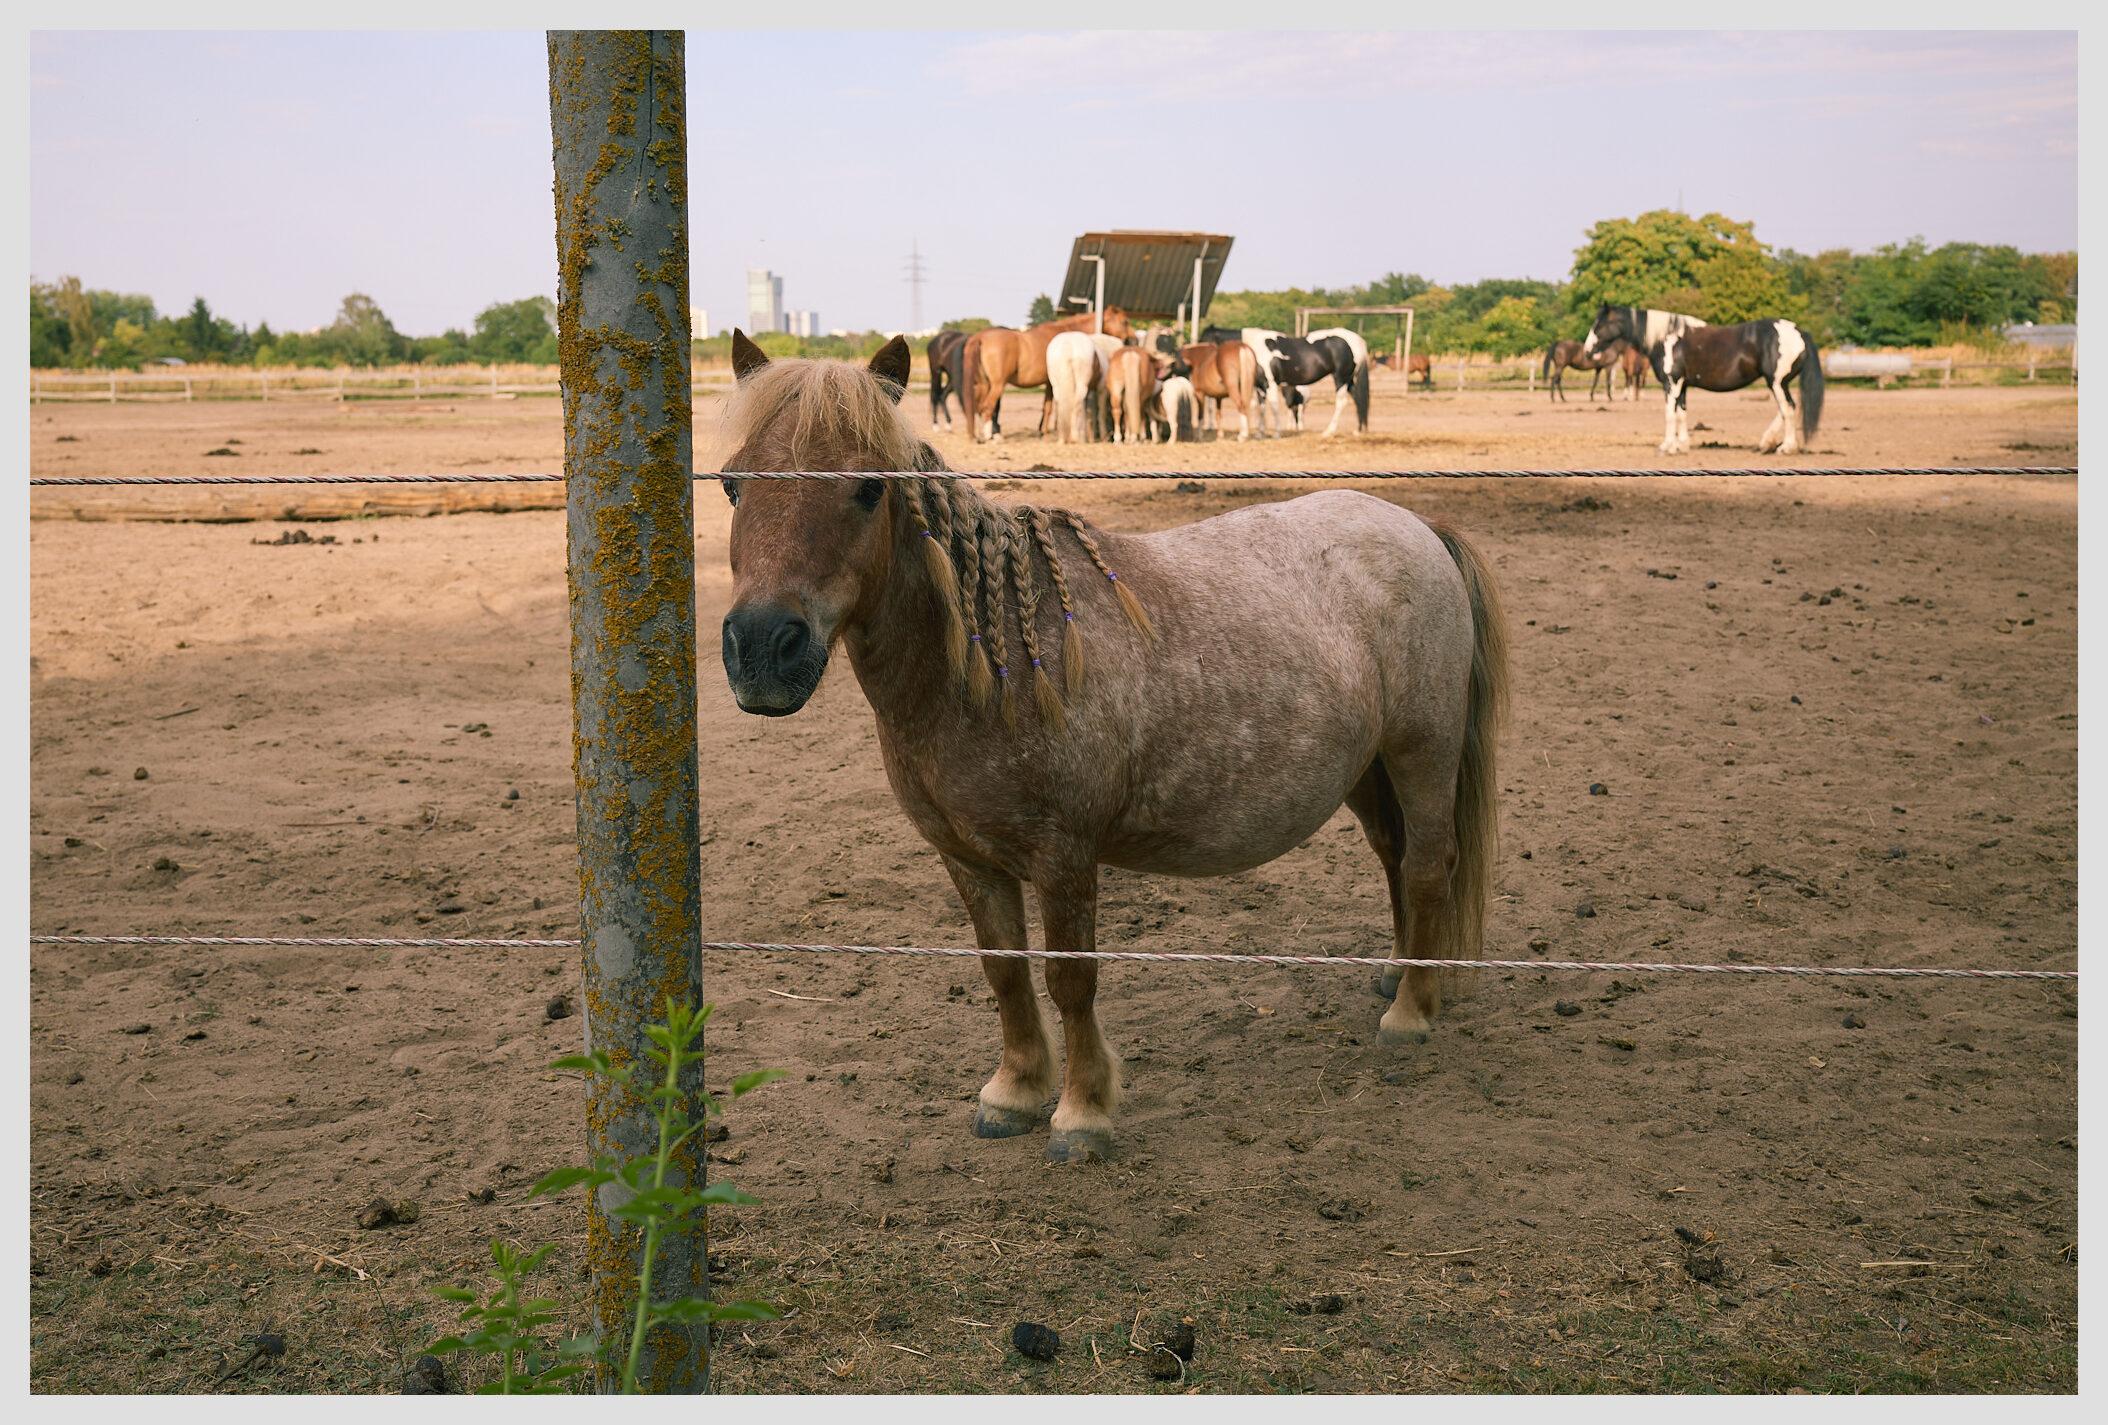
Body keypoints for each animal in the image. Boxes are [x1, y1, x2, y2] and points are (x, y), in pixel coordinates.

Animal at [716, 331, 1509, 1163]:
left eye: (869, 488)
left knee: (1427, 866)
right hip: (1368, 768)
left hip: (1423, 753)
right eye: (733, 484)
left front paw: (1081, 1113)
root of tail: (1417, 526)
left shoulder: (1064, 856)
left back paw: (1411, 1012)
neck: (997, 661)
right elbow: (1004, 971)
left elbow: (1071, 981)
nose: (763, 648)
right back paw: (1398, 975)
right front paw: (1014, 1092)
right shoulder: (967, 859)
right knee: (1395, 858)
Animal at [961, 307, 1133, 443]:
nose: (1131, 339)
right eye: (1124, 322)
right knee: (987, 407)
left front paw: (1042, 432)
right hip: (998, 384)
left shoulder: (1049, 384)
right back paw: (990, 437)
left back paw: (979, 434)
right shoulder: (1051, 383)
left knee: (978, 406)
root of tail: (980, 337)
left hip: (984, 383)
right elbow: (1051, 408)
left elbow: (1046, 406)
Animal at [1582, 304, 1823, 455]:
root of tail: (1798, 331)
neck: (1666, 338)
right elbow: (1681, 414)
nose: (1587, 350)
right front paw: (1681, 446)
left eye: (1600, 325)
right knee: (1786, 410)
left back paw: (1785, 447)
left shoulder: (1671, 383)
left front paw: (1667, 446)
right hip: (1779, 383)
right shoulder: (1682, 385)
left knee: (1788, 409)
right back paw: (1766, 443)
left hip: (1777, 382)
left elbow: (1670, 414)